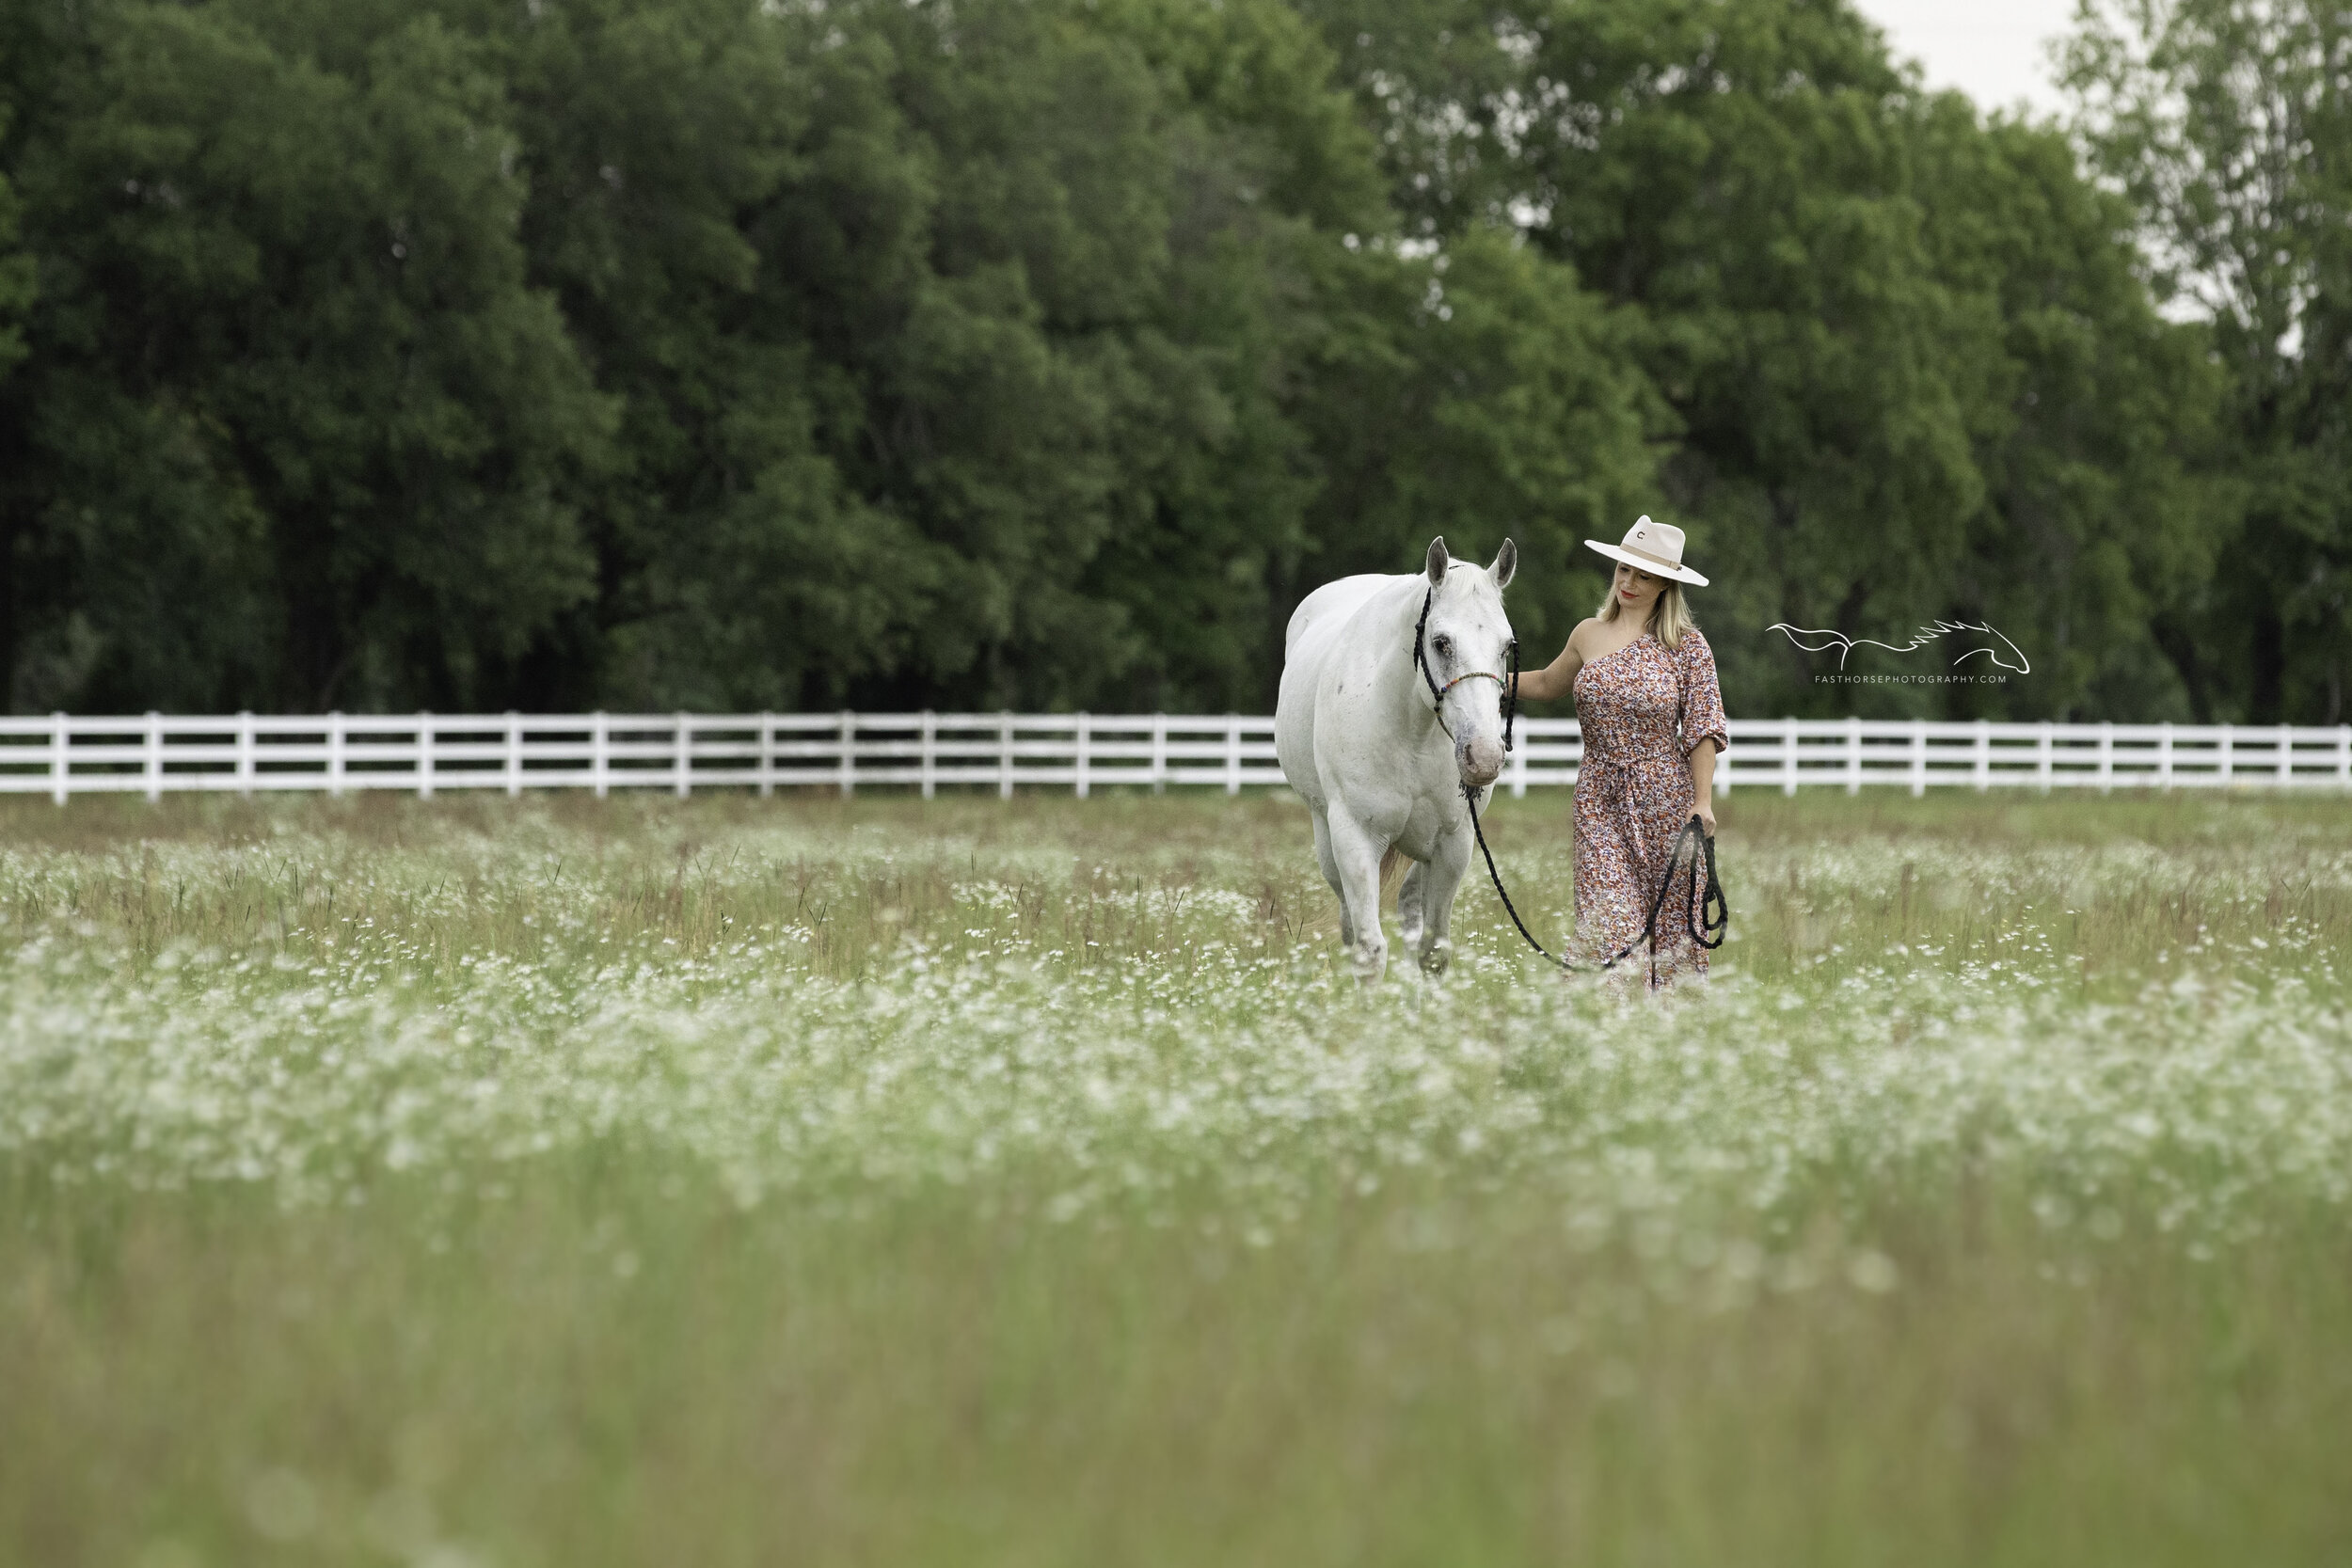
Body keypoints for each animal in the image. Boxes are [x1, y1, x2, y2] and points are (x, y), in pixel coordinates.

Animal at [1279, 540, 1515, 982]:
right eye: (1441, 642)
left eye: (1507, 647)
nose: (1484, 757)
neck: (1412, 733)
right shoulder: (1355, 837)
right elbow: (1369, 951)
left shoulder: (1453, 844)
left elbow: (1433, 951)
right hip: (1327, 838)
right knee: (1350, 923)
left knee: (1409, 907)